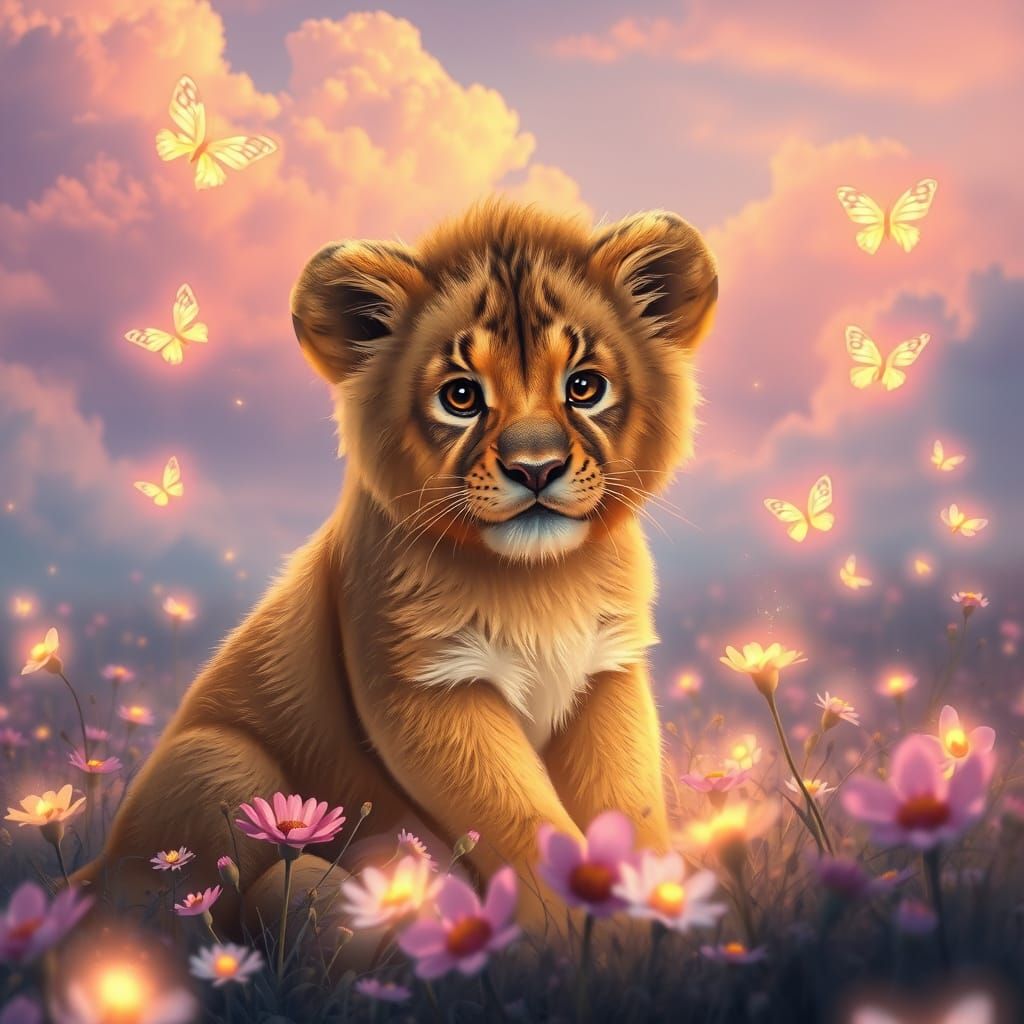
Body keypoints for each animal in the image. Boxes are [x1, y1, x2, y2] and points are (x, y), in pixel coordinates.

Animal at [77, 199, 718, 948]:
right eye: (461, 396)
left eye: (584, 387)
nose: (535, 469)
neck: (539, 582)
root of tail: (92, 871)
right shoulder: (424, 689)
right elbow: (519, 813)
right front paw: (573, 932)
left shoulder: (606, 672)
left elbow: (627, 799)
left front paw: (652, 910)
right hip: (217, 762)